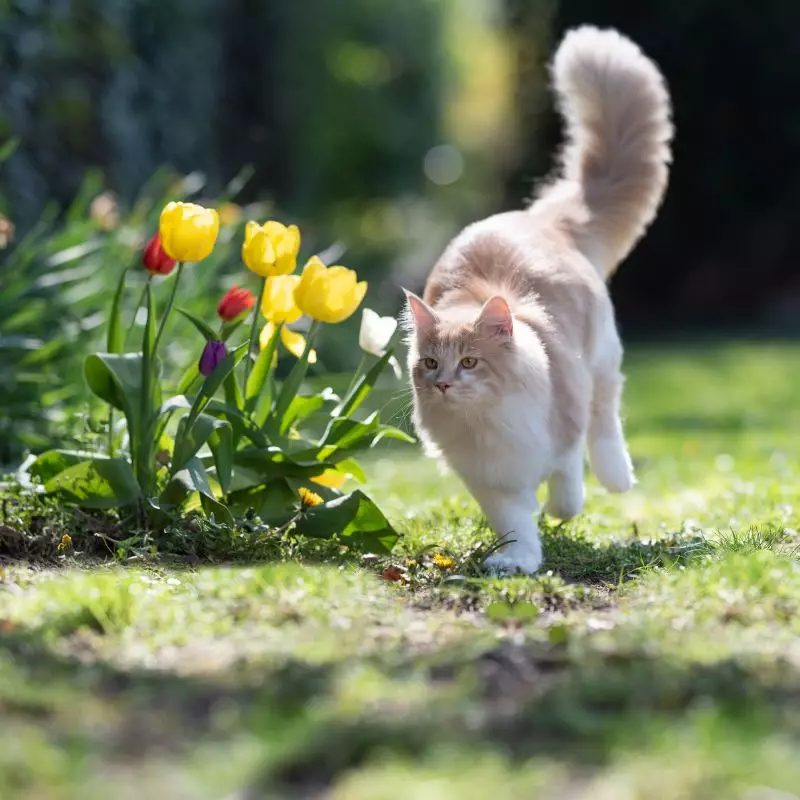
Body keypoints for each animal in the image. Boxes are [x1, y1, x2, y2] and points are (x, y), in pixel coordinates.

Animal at [404, 26, 672, 576]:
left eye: (469, 362)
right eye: (429, 363)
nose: (442, 384)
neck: (487, 421)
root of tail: (540, 217)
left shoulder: (562, 422)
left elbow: (567, 480)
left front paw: (560, 511)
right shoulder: (489, 480)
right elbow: (514, 523)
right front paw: (519, 560)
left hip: (601, 360)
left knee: (606, 418)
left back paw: (617, 476)